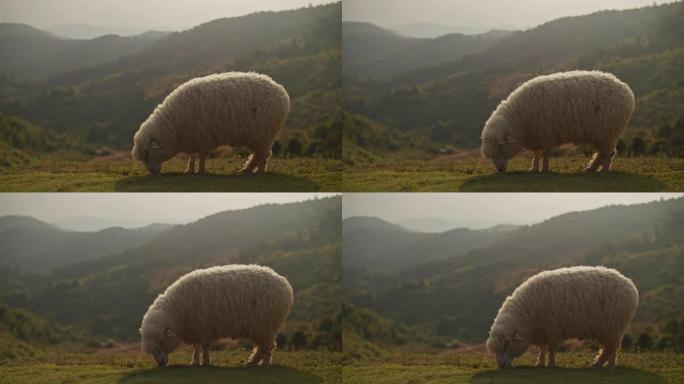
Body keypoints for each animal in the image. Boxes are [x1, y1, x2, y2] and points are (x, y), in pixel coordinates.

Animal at [132, 71, 290, 175]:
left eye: (147, 152)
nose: (152, 172)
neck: (172, 126)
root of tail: (282, 91)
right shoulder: (192, 137)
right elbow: (192, 155)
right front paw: (189, 169)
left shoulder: (202, 136)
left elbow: (201, 155)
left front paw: (201, 170)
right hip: (265, 136)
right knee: (264, 155)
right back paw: (260, 171)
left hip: (262, 134)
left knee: (261, 155)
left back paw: (247, 170)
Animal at [140, 264, 292, 366]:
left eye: (161, 341)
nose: (160, 364)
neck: (177, 310)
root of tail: (285, 284)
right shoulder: (195, 329)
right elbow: (196, 348)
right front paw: (195, 362)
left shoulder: (203, 328)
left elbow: (205, 347)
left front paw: (205, 363)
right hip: (265, 328)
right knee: (267, 347)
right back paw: (255, 362)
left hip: (266, 327)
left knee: (267, 347)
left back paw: (260, 363)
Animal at [480, 71, 636, 173]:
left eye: (501, 147)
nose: (500, 170)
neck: (518, 118)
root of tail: (627, 90)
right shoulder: (535, 135)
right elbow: (536, 153)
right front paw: (533, 168)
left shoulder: (545, 134)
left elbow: (545, 153)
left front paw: (544, 169)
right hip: (609, 134)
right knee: (610, 153)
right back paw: (603, 169)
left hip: (607, 132)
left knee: (605, 153)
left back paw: (593, 169)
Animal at [486, 268, 636, 368]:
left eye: (506, 344)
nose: (501, 366)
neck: (527, 313)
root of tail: (631, 286)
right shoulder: (542, 330)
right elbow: (542, 348)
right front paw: (540, 363)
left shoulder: (552, 329)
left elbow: (551, 348)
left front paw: (551, 363)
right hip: (615, 330)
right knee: (614, 349)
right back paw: (610, 364)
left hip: (612, 327)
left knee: (610, 349)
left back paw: (598, 363)